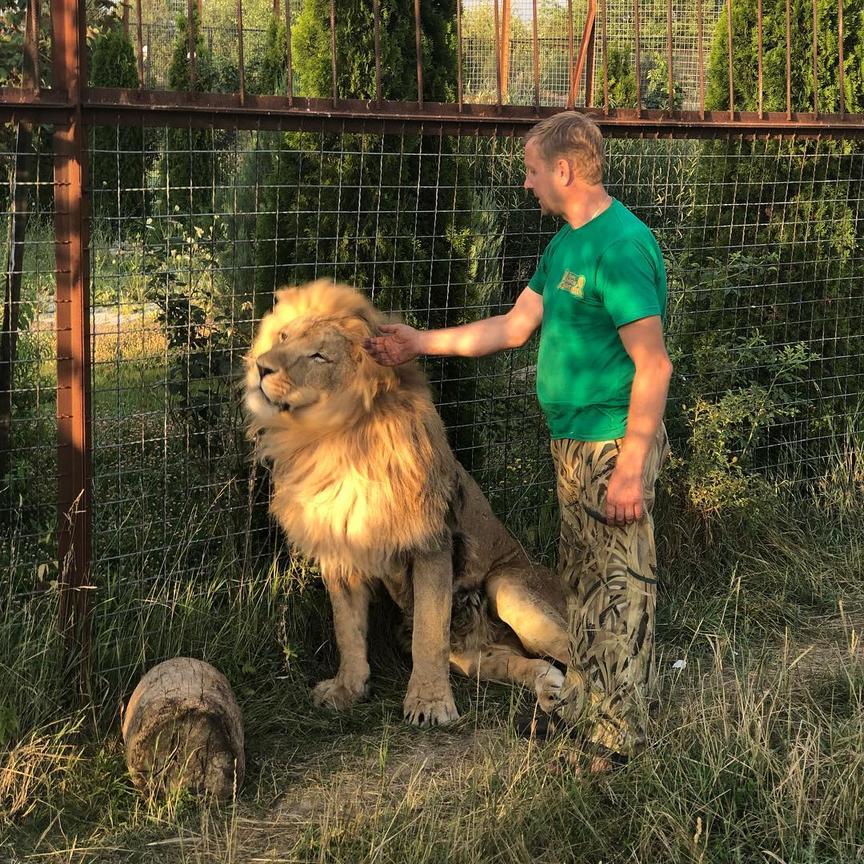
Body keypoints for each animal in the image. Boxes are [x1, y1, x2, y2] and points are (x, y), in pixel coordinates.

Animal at [243, 280, 572, 724]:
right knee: (531, 663)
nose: (261, 368)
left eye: (318, 356)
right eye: (283, 337)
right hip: (475, 655)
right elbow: (347, 629)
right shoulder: (340, 548)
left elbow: (428, 635)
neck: (333, 443)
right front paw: (347, 689)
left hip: (510, 587)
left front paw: (429, 704)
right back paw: (552, 692)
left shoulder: (431, 543)